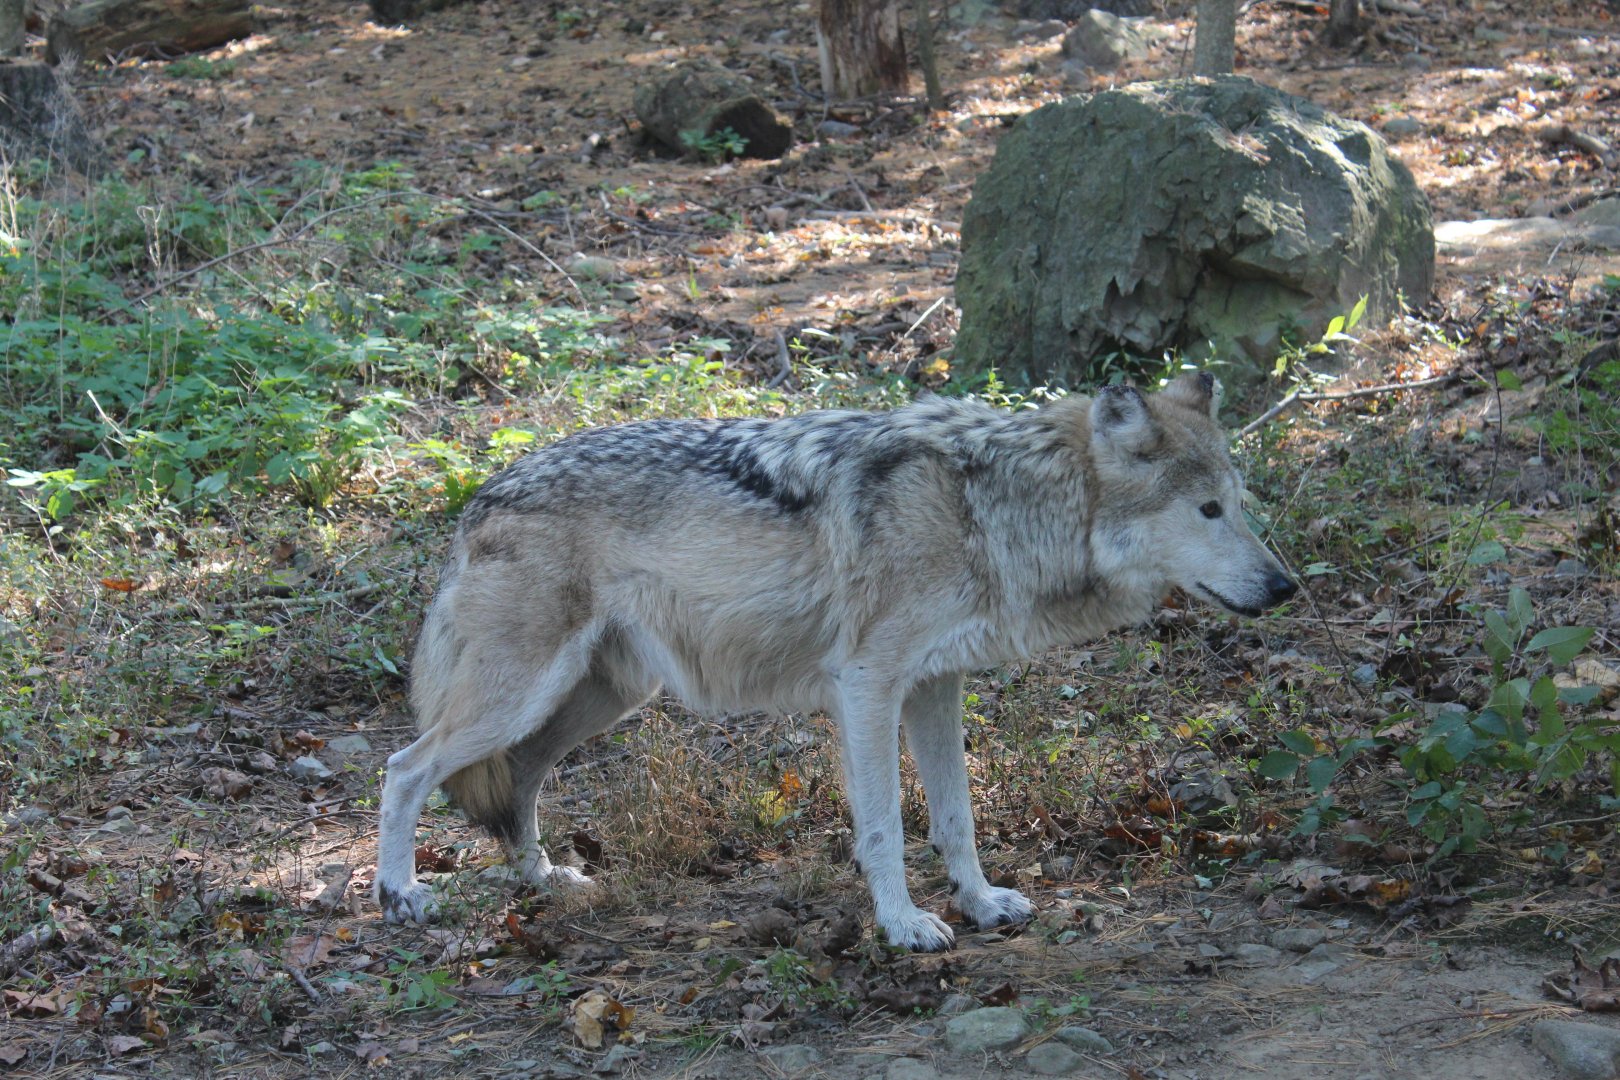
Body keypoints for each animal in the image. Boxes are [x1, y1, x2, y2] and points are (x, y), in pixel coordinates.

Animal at [373, 372, 1296, 951]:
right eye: (1207, 510)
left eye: (1240, 504)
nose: (1285, 585)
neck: (987, 506)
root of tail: (478, 499)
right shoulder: (868, 688)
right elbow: (884, 825)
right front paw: (905, 926)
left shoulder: (936, 686)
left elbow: (956, 817)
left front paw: (980, 902)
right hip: (523, 695)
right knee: (405, 767)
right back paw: (400, 895)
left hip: (596, 699)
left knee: (518, 779)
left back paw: (543, 877)